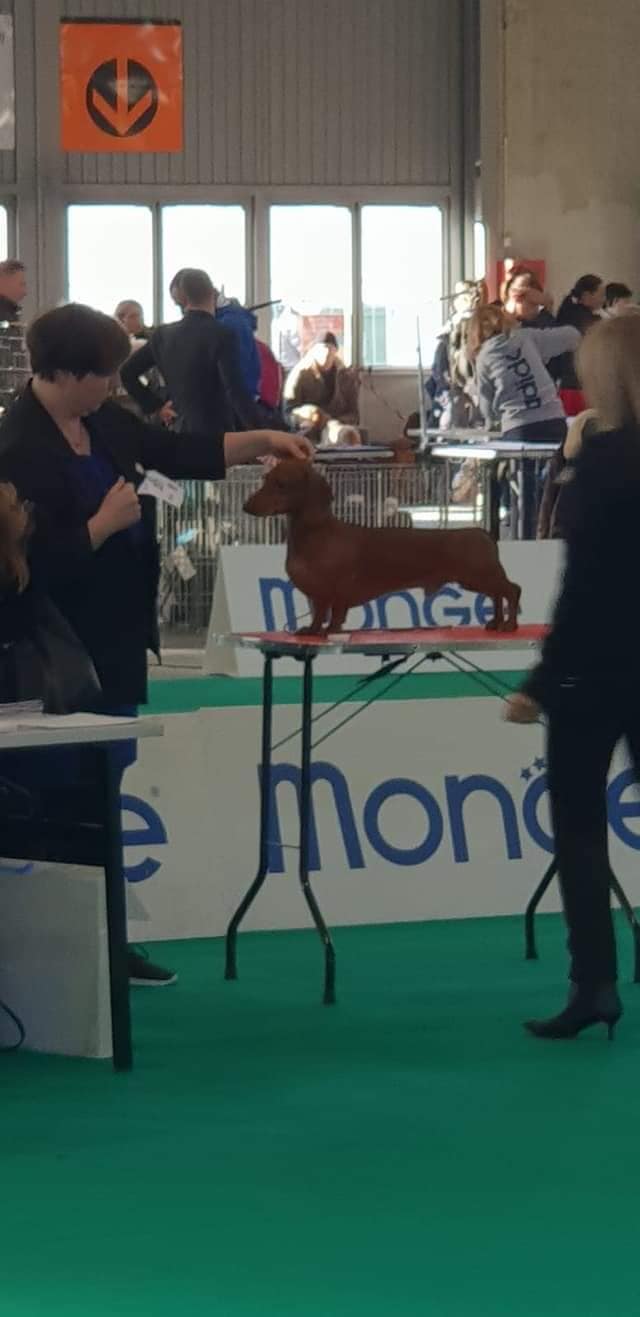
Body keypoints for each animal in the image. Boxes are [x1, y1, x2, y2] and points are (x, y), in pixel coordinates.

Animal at [243, 460, 518, 634]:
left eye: (281, 484)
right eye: (266, 479)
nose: (247, 506)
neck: (314, 534)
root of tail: (483, 533)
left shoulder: (335, 590)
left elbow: (332, 614)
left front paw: (327, 631)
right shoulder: (317, 593)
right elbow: (318, 614)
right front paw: (310, 630)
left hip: (478, 576)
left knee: (511, 591)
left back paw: (509, 625)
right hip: (476, 579)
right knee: (497, 595)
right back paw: (496, 623)